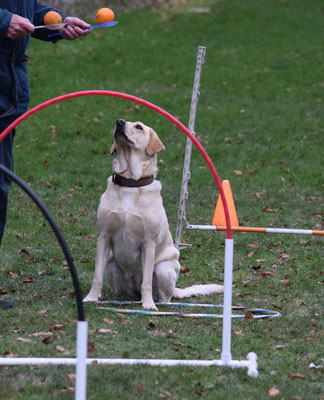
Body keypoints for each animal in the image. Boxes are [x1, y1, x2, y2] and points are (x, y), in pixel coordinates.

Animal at [83, 119, 223, 310]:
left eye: (139, 127)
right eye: (123, 121)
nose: (119, 122)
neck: (130, 183)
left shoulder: (148, 242)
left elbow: (147, 281)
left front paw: (148, 305)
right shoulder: (104, 236)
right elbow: (97, 275)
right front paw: (91, 298)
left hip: (164, 269)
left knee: (163, 297)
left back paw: (156, 303)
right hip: (111, 261)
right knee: (119, 289)